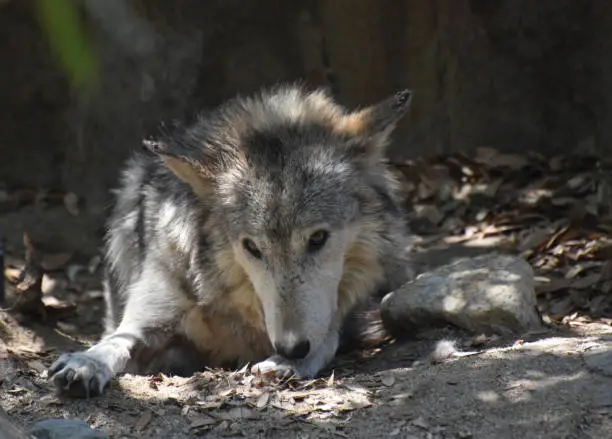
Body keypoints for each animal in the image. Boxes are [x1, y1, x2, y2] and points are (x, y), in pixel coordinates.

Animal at [47, 82, 416, 398]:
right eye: (252, 247)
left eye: (318, 238)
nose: (291, 348)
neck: (233, 310)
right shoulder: (150, 317)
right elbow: (116, 341)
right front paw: (86, 362)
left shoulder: (331, 319)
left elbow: (325, 342)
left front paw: (286, 364)